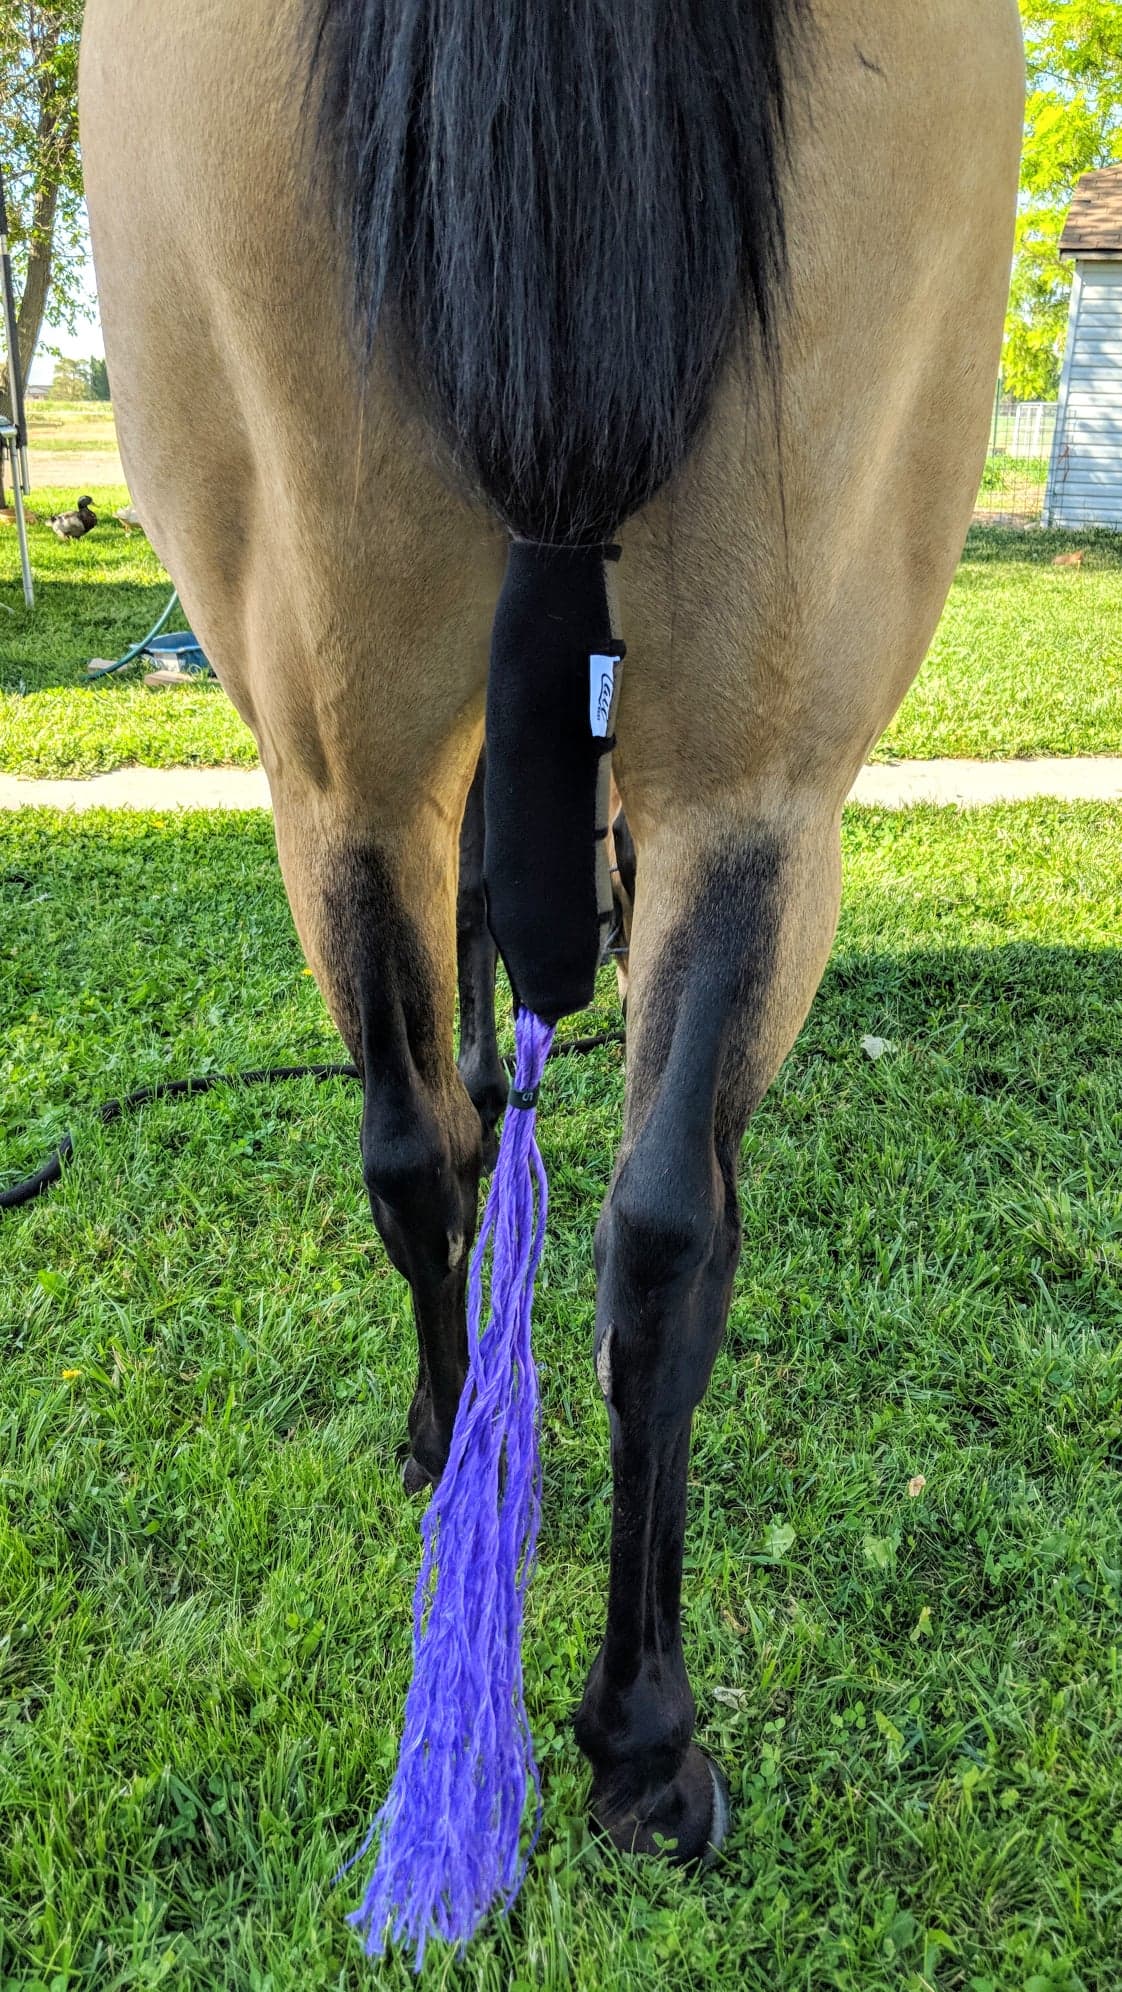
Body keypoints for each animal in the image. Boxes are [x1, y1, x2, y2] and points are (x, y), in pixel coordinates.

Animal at [79, 0, 1024, 1929]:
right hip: (761, 743)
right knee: (632, 1207)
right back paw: (636, 1722)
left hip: (366, 730)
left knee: (461, 1162)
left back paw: (498, 1516)